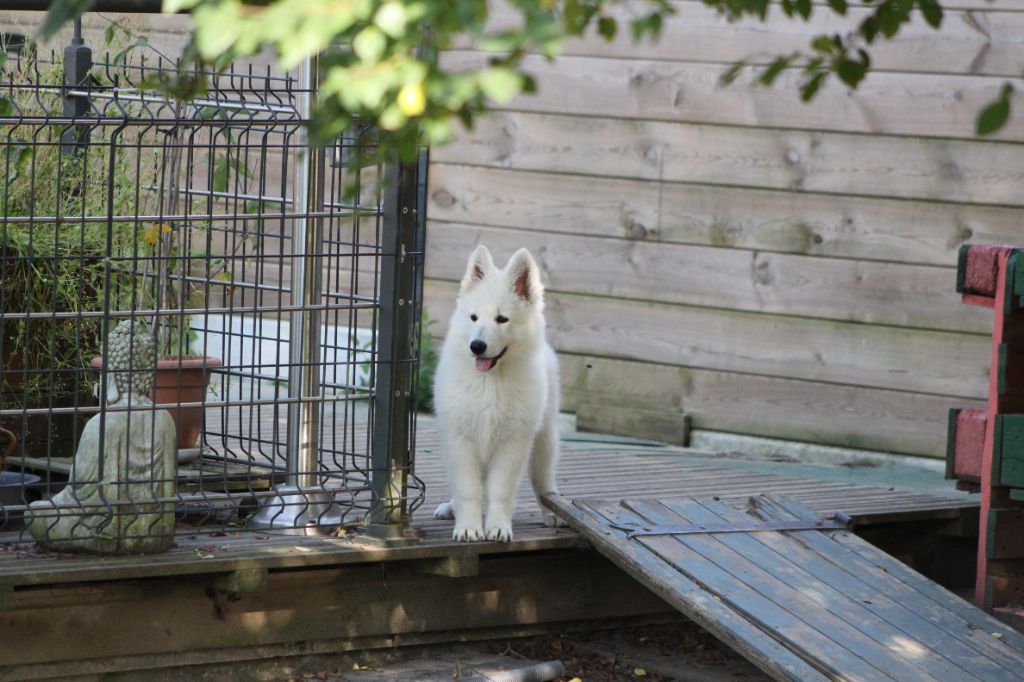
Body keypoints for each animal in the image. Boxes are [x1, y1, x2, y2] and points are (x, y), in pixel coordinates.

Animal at [430, 244, 561, 540]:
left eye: (502, 319)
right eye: (474, 317)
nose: (476, 346)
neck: (489, 382)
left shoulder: (512, 444)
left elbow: (500, 491)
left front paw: (498, 527)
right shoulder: (461, 440)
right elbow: (468, 490)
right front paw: (468, 527)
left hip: (544, 440)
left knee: (544, 480)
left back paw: (552, 512)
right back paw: (451, 507)